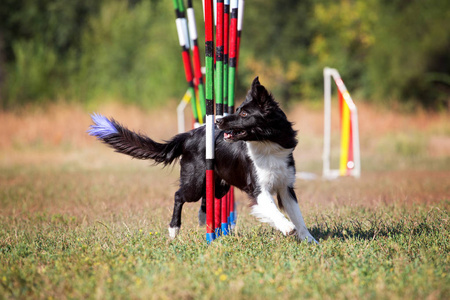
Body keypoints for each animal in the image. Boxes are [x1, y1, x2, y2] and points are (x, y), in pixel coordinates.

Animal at [89, 77, 316, 244]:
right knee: (179, 195)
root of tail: (188, 135)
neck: (266, 144)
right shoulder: (259, 189)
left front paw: (310, 241)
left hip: (220, 185)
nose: (218, 120)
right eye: (237, 109)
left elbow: (298, 215)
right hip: (195, 182)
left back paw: (204, 219)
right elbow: (273, 210)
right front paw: (286, 227)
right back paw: (174, 230)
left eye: (244, 113)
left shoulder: (286, 186)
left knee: (206, 198)